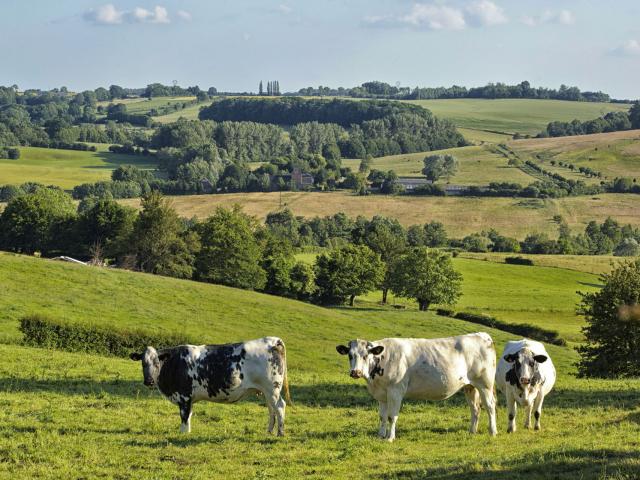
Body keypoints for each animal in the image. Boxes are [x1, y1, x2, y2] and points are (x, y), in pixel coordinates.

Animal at [130, 338, 290, 436]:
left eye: (157, 363)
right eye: (143, 363)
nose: (149, 381)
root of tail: (273, 340)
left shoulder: (184, 397)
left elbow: (184, 416)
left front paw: (183, 434)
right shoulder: (189, 398)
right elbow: (189, 416)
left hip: (272, 389)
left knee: (280, 406)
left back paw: (280, 433)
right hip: (267, 391)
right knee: (271, 409)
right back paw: (269, 431)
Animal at [338, 334, 498, 442]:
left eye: (366, 355)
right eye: (350, 355)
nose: (355, 372)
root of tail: (482, 335)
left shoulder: (395, 391)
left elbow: (391, 416)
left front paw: (390, 438)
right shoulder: (382, 395)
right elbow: (382, 416)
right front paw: (380, 435)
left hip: (485, 384)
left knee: (490, 406)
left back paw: (493, 432)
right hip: (470, 386)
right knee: (475, 408)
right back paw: (472, 431)